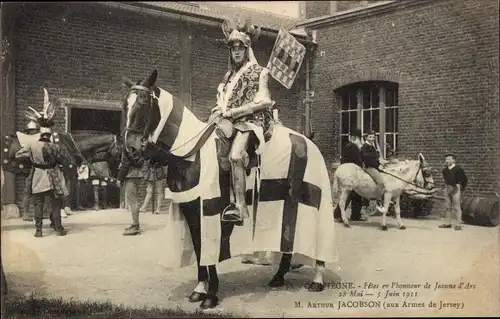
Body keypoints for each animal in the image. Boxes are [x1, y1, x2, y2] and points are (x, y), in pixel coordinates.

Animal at [119, 70, 338, 310]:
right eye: (124, 105)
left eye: (143, 102)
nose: (131, 150)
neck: (192, 154)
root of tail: (308, 142)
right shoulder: (190, 209)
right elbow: (199, 248)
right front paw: (199, 289)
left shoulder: (211, 209)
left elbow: (210, 250)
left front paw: (211, 295)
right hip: (289, 204)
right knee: (287, 239)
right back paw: (279, 276)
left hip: (312, 199)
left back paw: (317, 279)